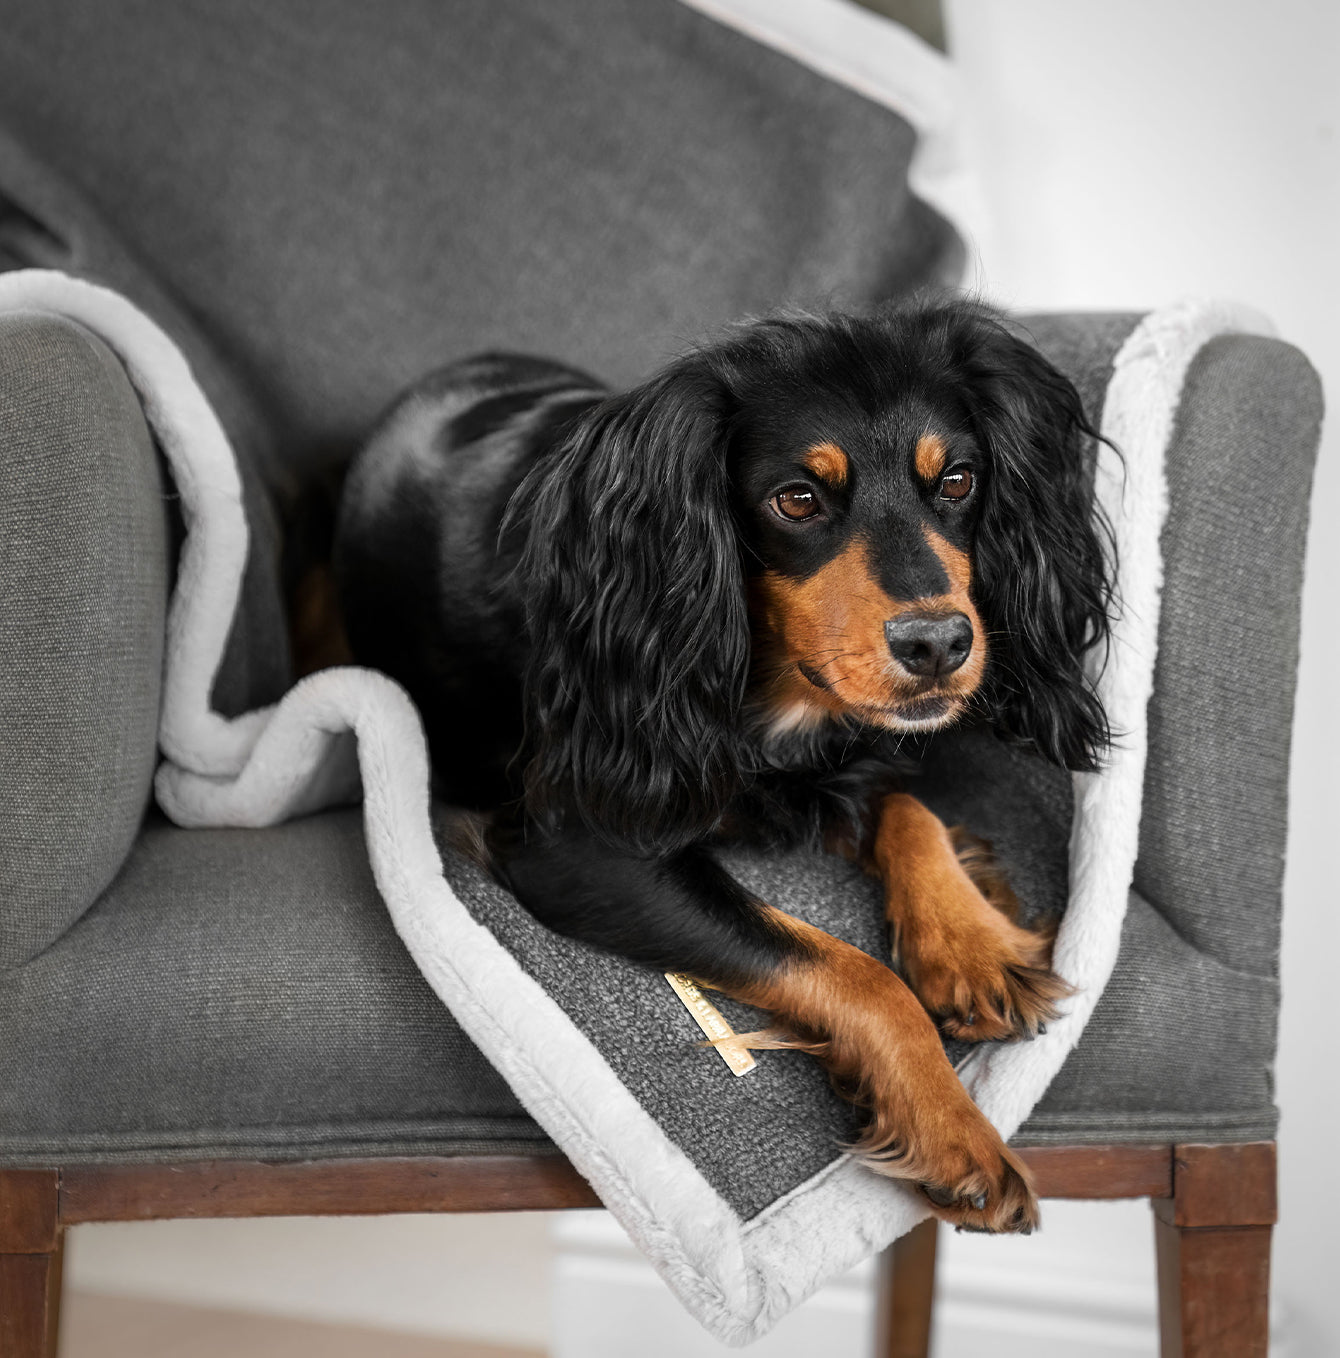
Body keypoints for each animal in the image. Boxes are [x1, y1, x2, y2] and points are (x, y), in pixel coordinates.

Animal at [335, 302, 1113, 1238]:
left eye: (958, 481)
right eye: (797, 499)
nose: (938, 645)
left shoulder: (840, 758)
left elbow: (908, 810)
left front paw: (971, 945)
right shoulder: (580, 850)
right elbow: (852, 971)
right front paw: (955, 1134)